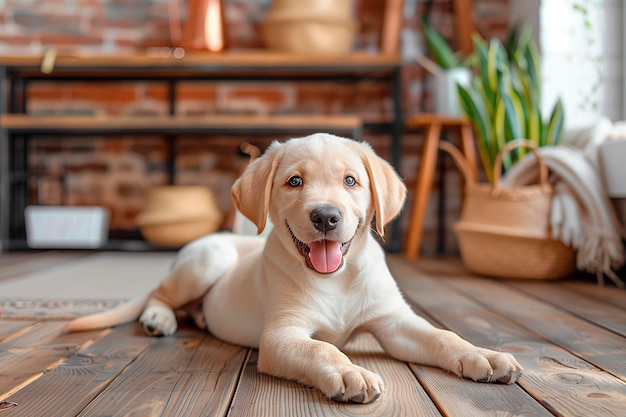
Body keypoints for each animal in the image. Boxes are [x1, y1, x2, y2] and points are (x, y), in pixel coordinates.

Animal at [66, 133, 520, 404]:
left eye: (351, 181)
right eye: (295, 182)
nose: (326, 217)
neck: (337, 279)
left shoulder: (394, 321)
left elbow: (444, 336)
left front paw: (484, 355)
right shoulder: (281, 335)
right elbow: (322, 347)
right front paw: (350, 372)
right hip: (208, 260)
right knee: (161, 293)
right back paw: (159, 318)